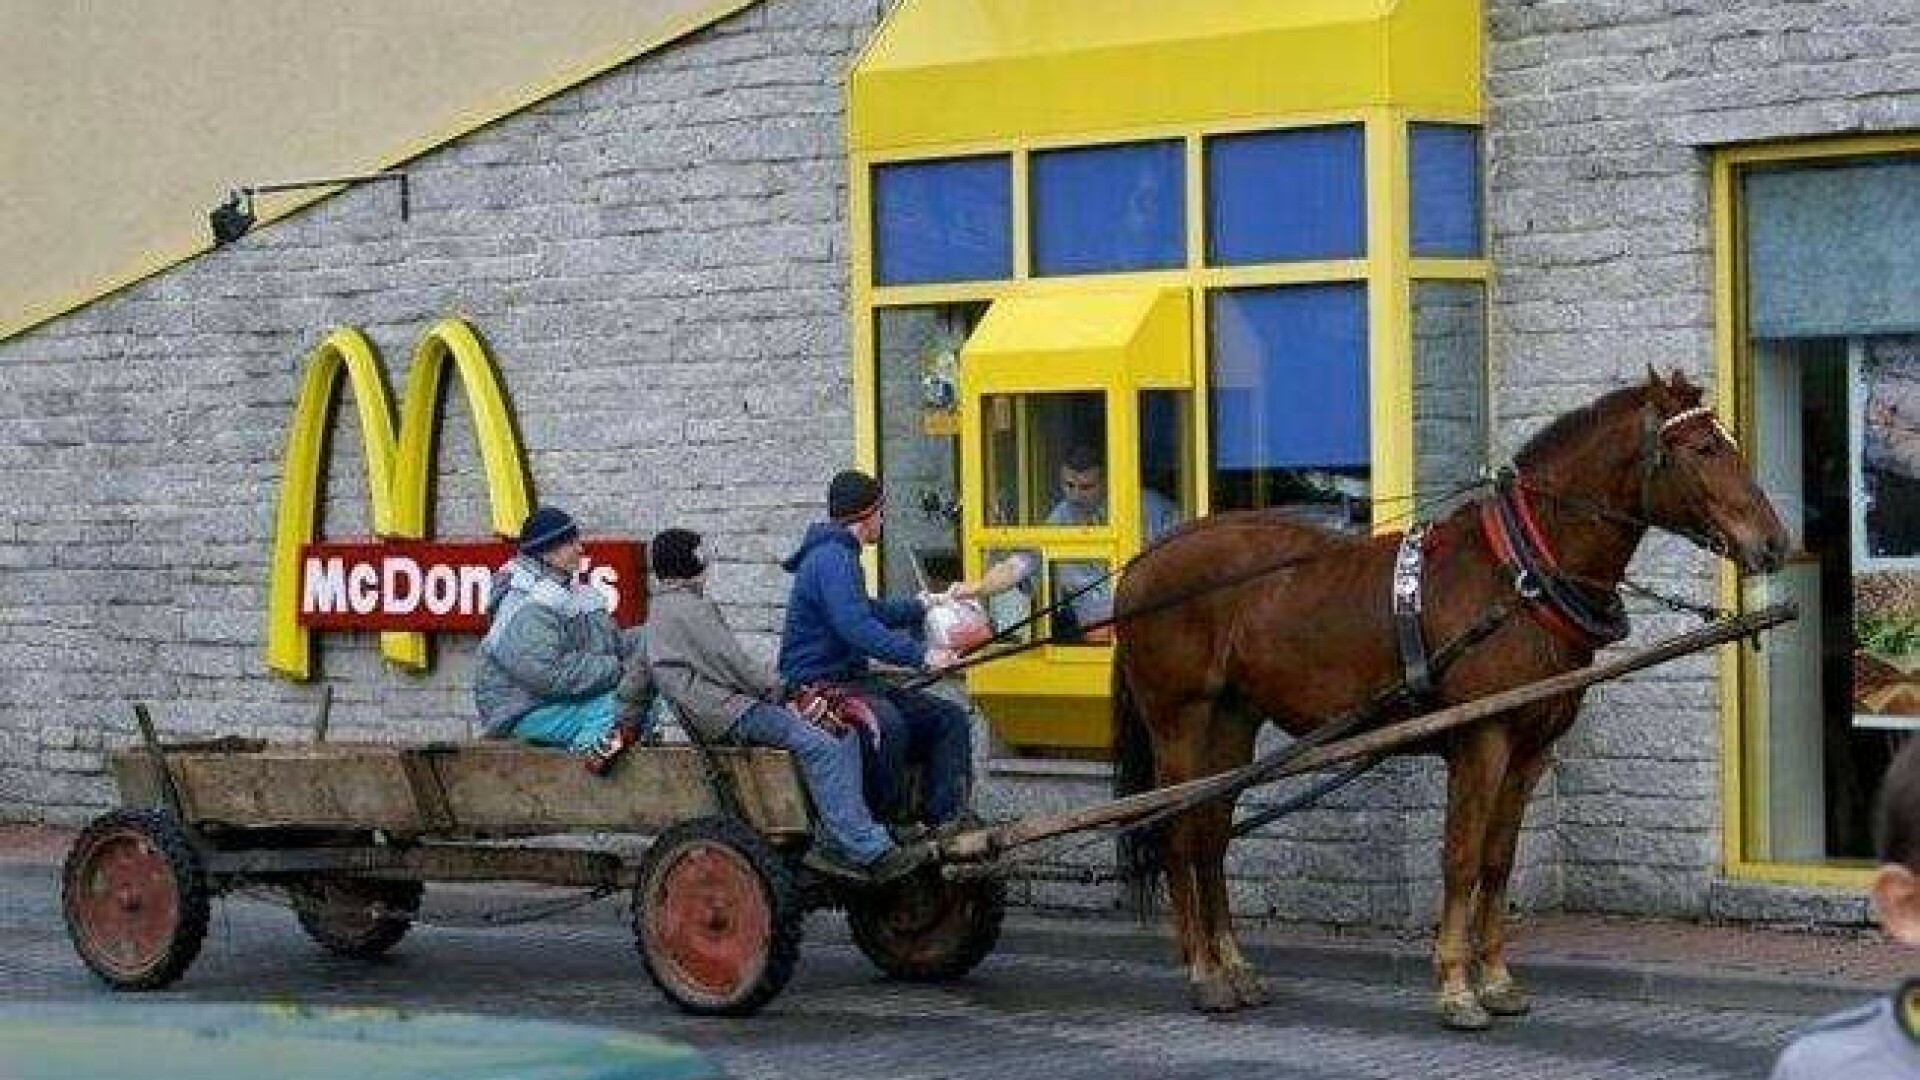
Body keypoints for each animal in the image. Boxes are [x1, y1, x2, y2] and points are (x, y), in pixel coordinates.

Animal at [1111, 370, 1791, 1030]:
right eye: (1702, 449)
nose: (1775, 542)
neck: (1518, 578)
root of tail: (1147, 558)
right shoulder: (1481, 740)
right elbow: (1461, 858)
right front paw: (1456, 988)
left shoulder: (1529, 747)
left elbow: (1498, 860)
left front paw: (1498, 981)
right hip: (1178, 720)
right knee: (1176, 831)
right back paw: (1205, 975)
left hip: (1232, 719)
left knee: (1211, 832)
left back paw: (1234, 966)